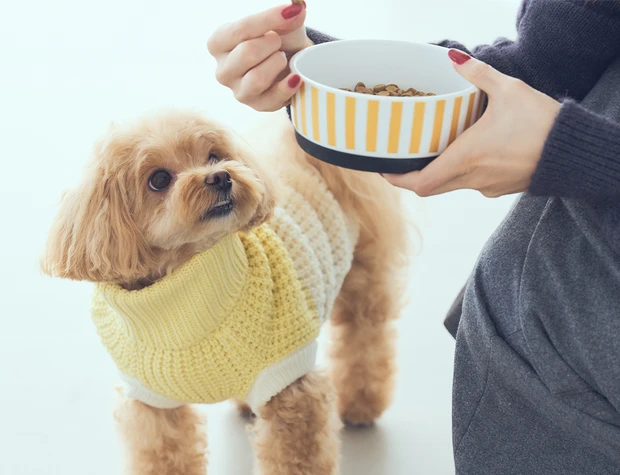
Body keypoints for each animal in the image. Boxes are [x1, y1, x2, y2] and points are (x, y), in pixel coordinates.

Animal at [38, 109, 406, 474]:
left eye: (214, 156)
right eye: (158, 179)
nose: (220, 177)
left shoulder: (291, 385)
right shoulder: (153, 404)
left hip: (363, 281)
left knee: (364, 339)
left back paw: (360, 406)